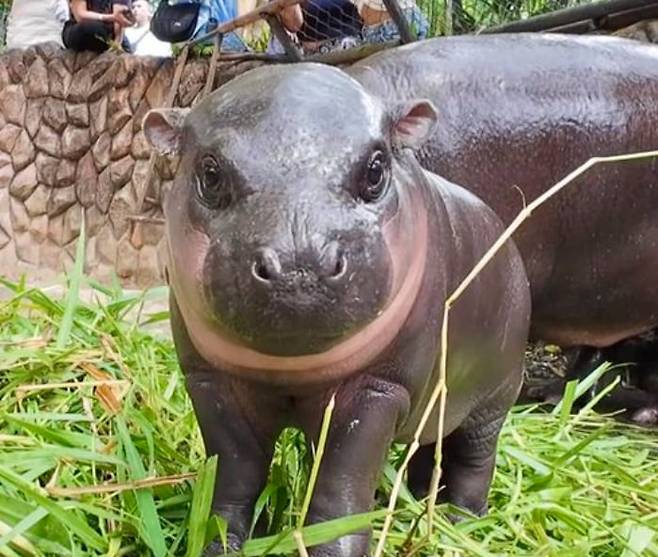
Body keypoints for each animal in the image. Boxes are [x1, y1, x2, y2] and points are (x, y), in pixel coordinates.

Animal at [142, 63, 528, 552]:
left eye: (376, 168)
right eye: (209, 174)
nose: (298, 265)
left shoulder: (379, 389)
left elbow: (340, 490)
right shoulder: (210, 382)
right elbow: (233, 475)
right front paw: (219, 543)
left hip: (495, 398)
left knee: (475, 459)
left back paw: (462, 524)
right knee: (430, 448)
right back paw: (422, 504)